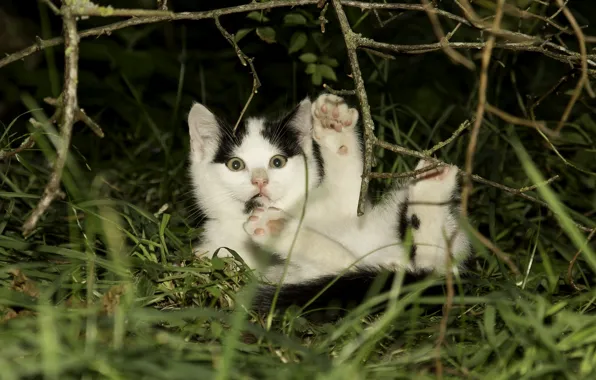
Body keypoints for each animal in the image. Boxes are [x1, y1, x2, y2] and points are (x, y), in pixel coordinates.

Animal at [189, 93, 472, 316]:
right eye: (235, 165)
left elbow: (348, 188)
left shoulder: (346, 209)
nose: (260, 180)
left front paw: (334, 128)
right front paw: (278, 228)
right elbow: (340, 259)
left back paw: (430, 185)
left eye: (277, 162)